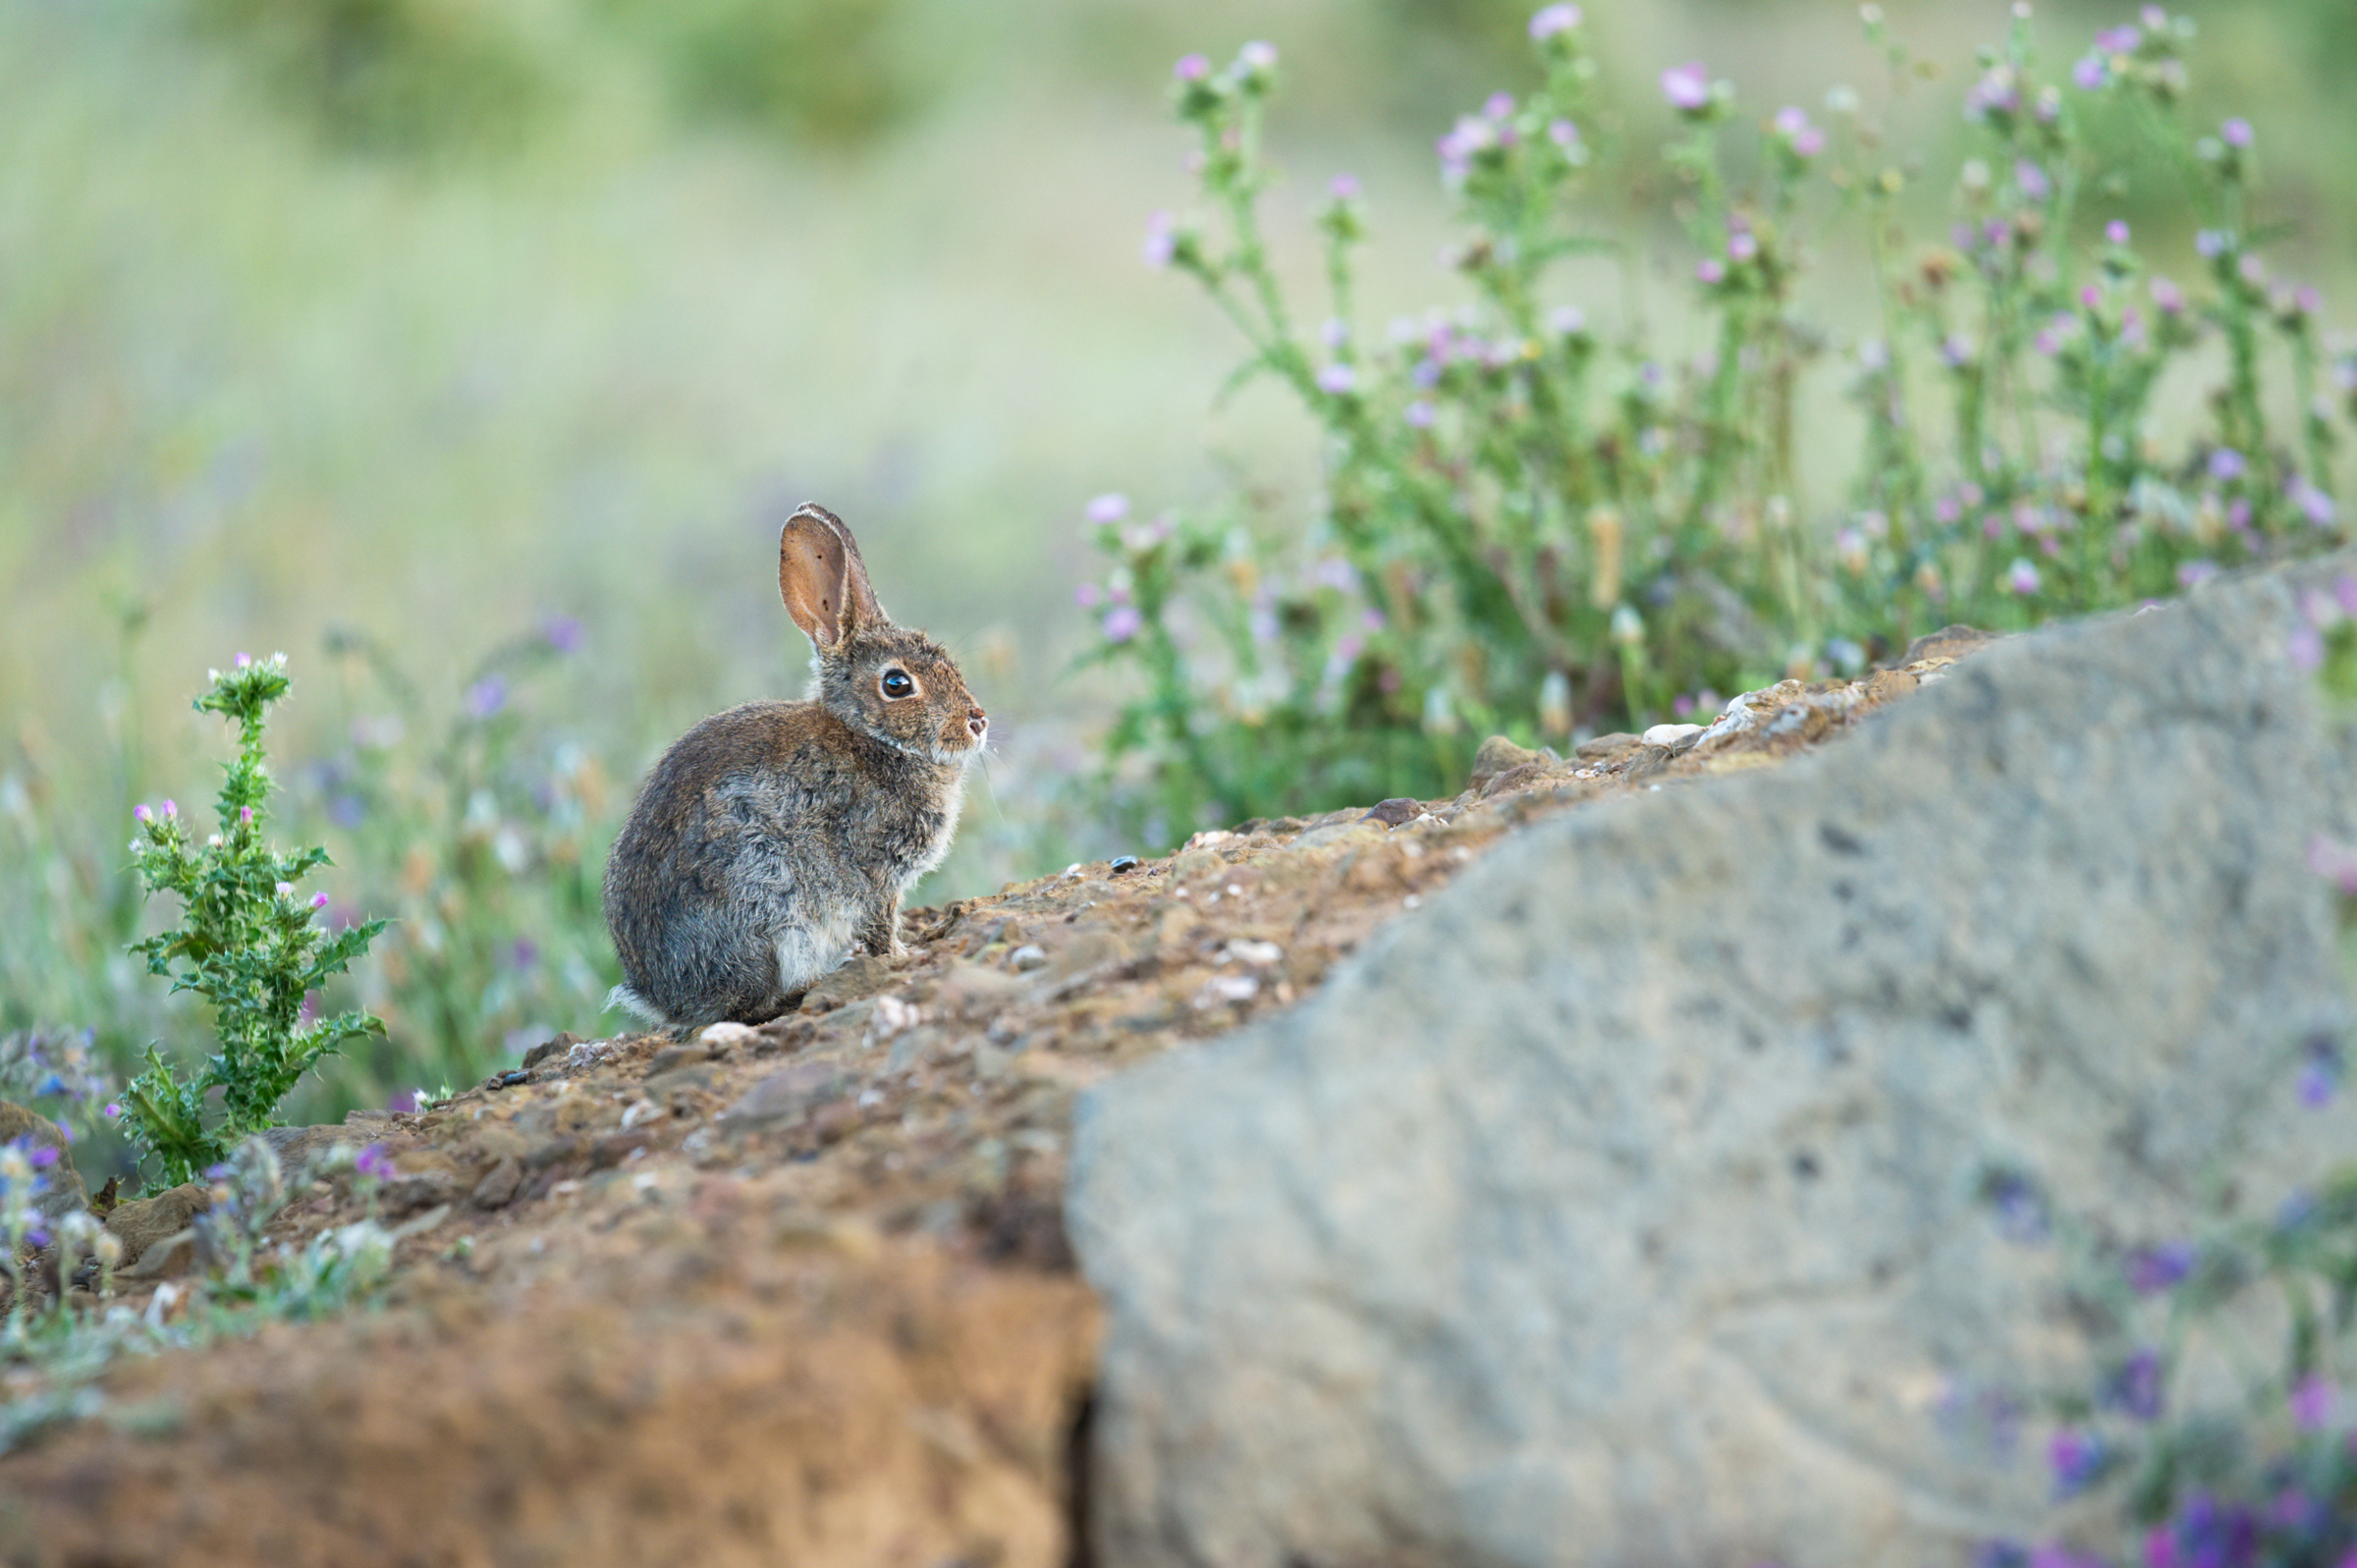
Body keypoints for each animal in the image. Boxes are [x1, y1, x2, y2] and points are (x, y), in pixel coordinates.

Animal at [601, 502, 988, 1029]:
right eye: (897, 684)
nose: (978, 722)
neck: (869, 738)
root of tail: (661, 996)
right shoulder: (872, 871)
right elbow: (879, 922)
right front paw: (902, 957)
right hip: (762, 900)